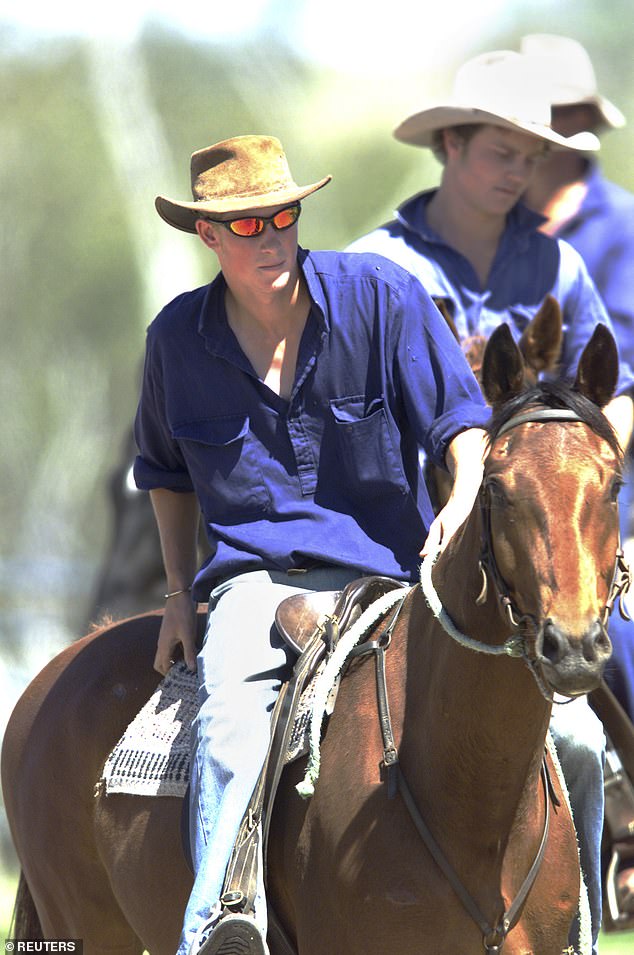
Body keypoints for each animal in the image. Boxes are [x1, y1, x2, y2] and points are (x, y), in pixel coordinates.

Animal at [0, 324, 624, 955]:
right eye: (496, 487)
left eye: (615, 484)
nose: (572, 645)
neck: (471, 799)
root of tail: (60, 666)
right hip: (83, 924)